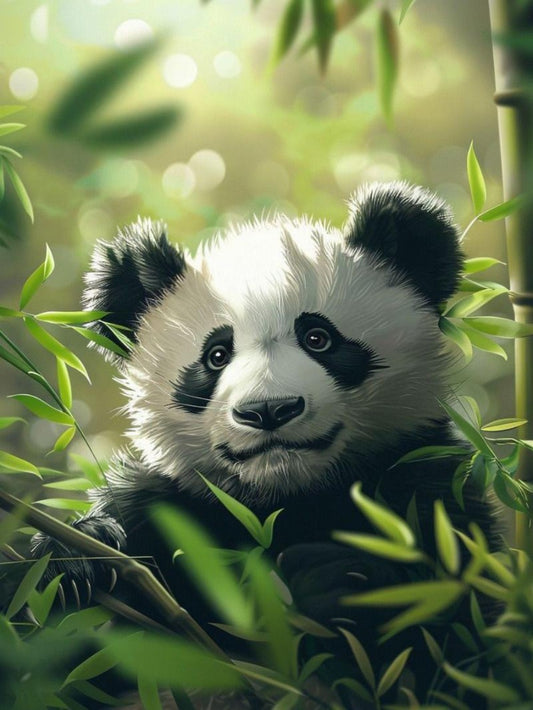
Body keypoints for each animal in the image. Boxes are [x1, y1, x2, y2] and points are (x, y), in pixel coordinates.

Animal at [32, 182, 499, 687]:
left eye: (319, 339)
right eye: (216, 356)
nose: (268, 410)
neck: (281, 499)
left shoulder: (428, 488)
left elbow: (461, 632)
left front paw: (338, 582)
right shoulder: (166, 511)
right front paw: (73, 561)